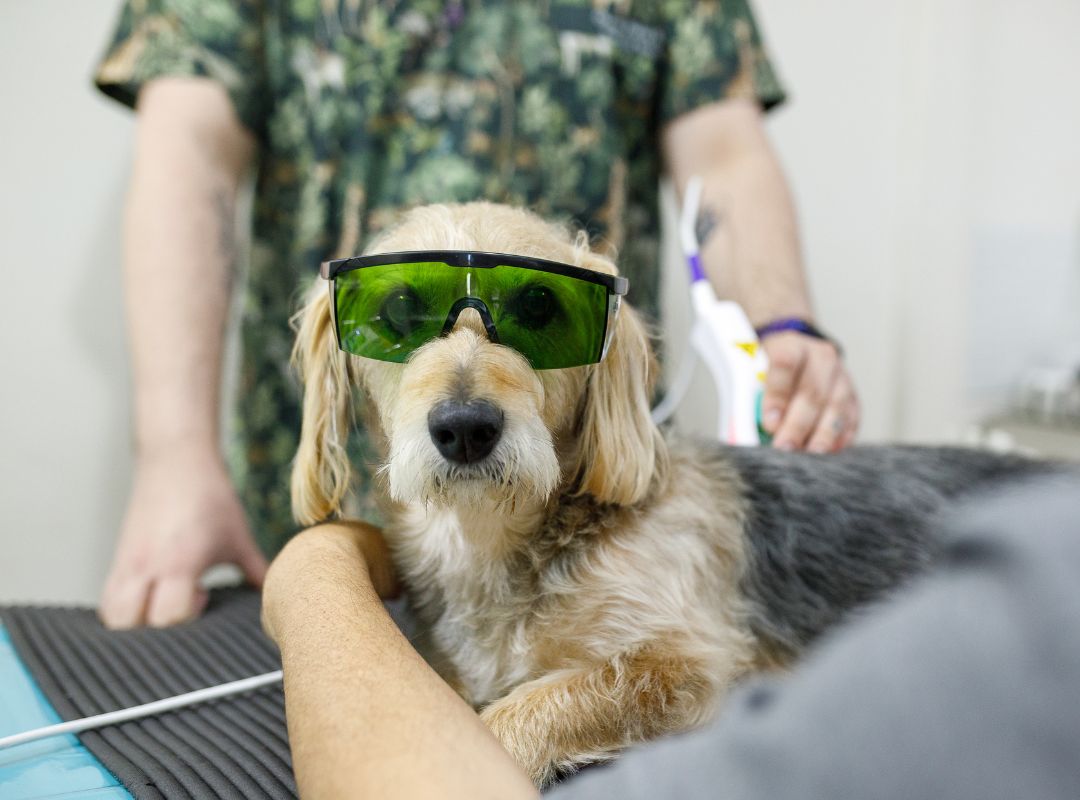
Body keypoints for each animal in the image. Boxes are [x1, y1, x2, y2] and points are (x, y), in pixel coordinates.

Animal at [289, 200, 1054, 785]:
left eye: (540, 306)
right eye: (398, 310)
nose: (466, 427)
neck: (503, 539)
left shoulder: (689, 667)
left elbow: (516, 715)